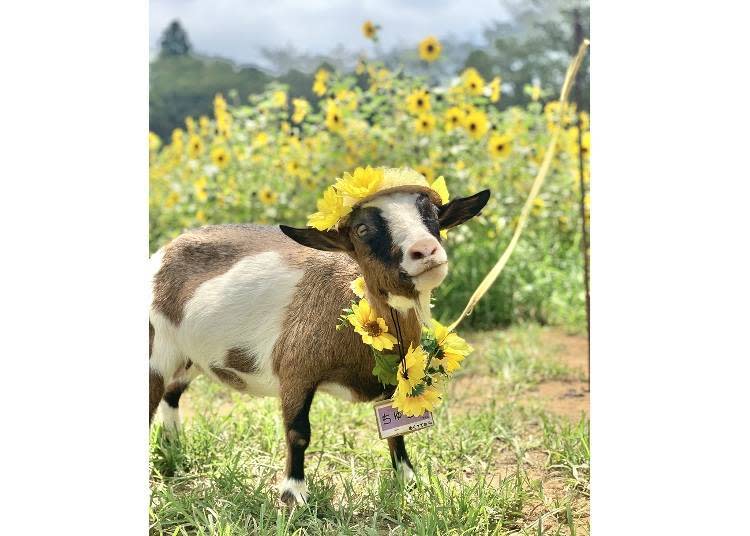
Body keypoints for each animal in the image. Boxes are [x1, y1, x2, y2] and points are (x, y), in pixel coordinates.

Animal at [149, 186, 490, 504]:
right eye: (362, 229)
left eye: (433, 214)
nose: (426, 250)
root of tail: (164, 251)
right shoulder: (296, 371)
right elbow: (298, 432)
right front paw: (294, 494)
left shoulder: (394, 379)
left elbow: (397, 432)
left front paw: (408, 479)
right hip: (156, 351)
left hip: (190, 358)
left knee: (172, 394)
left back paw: (172, 444)